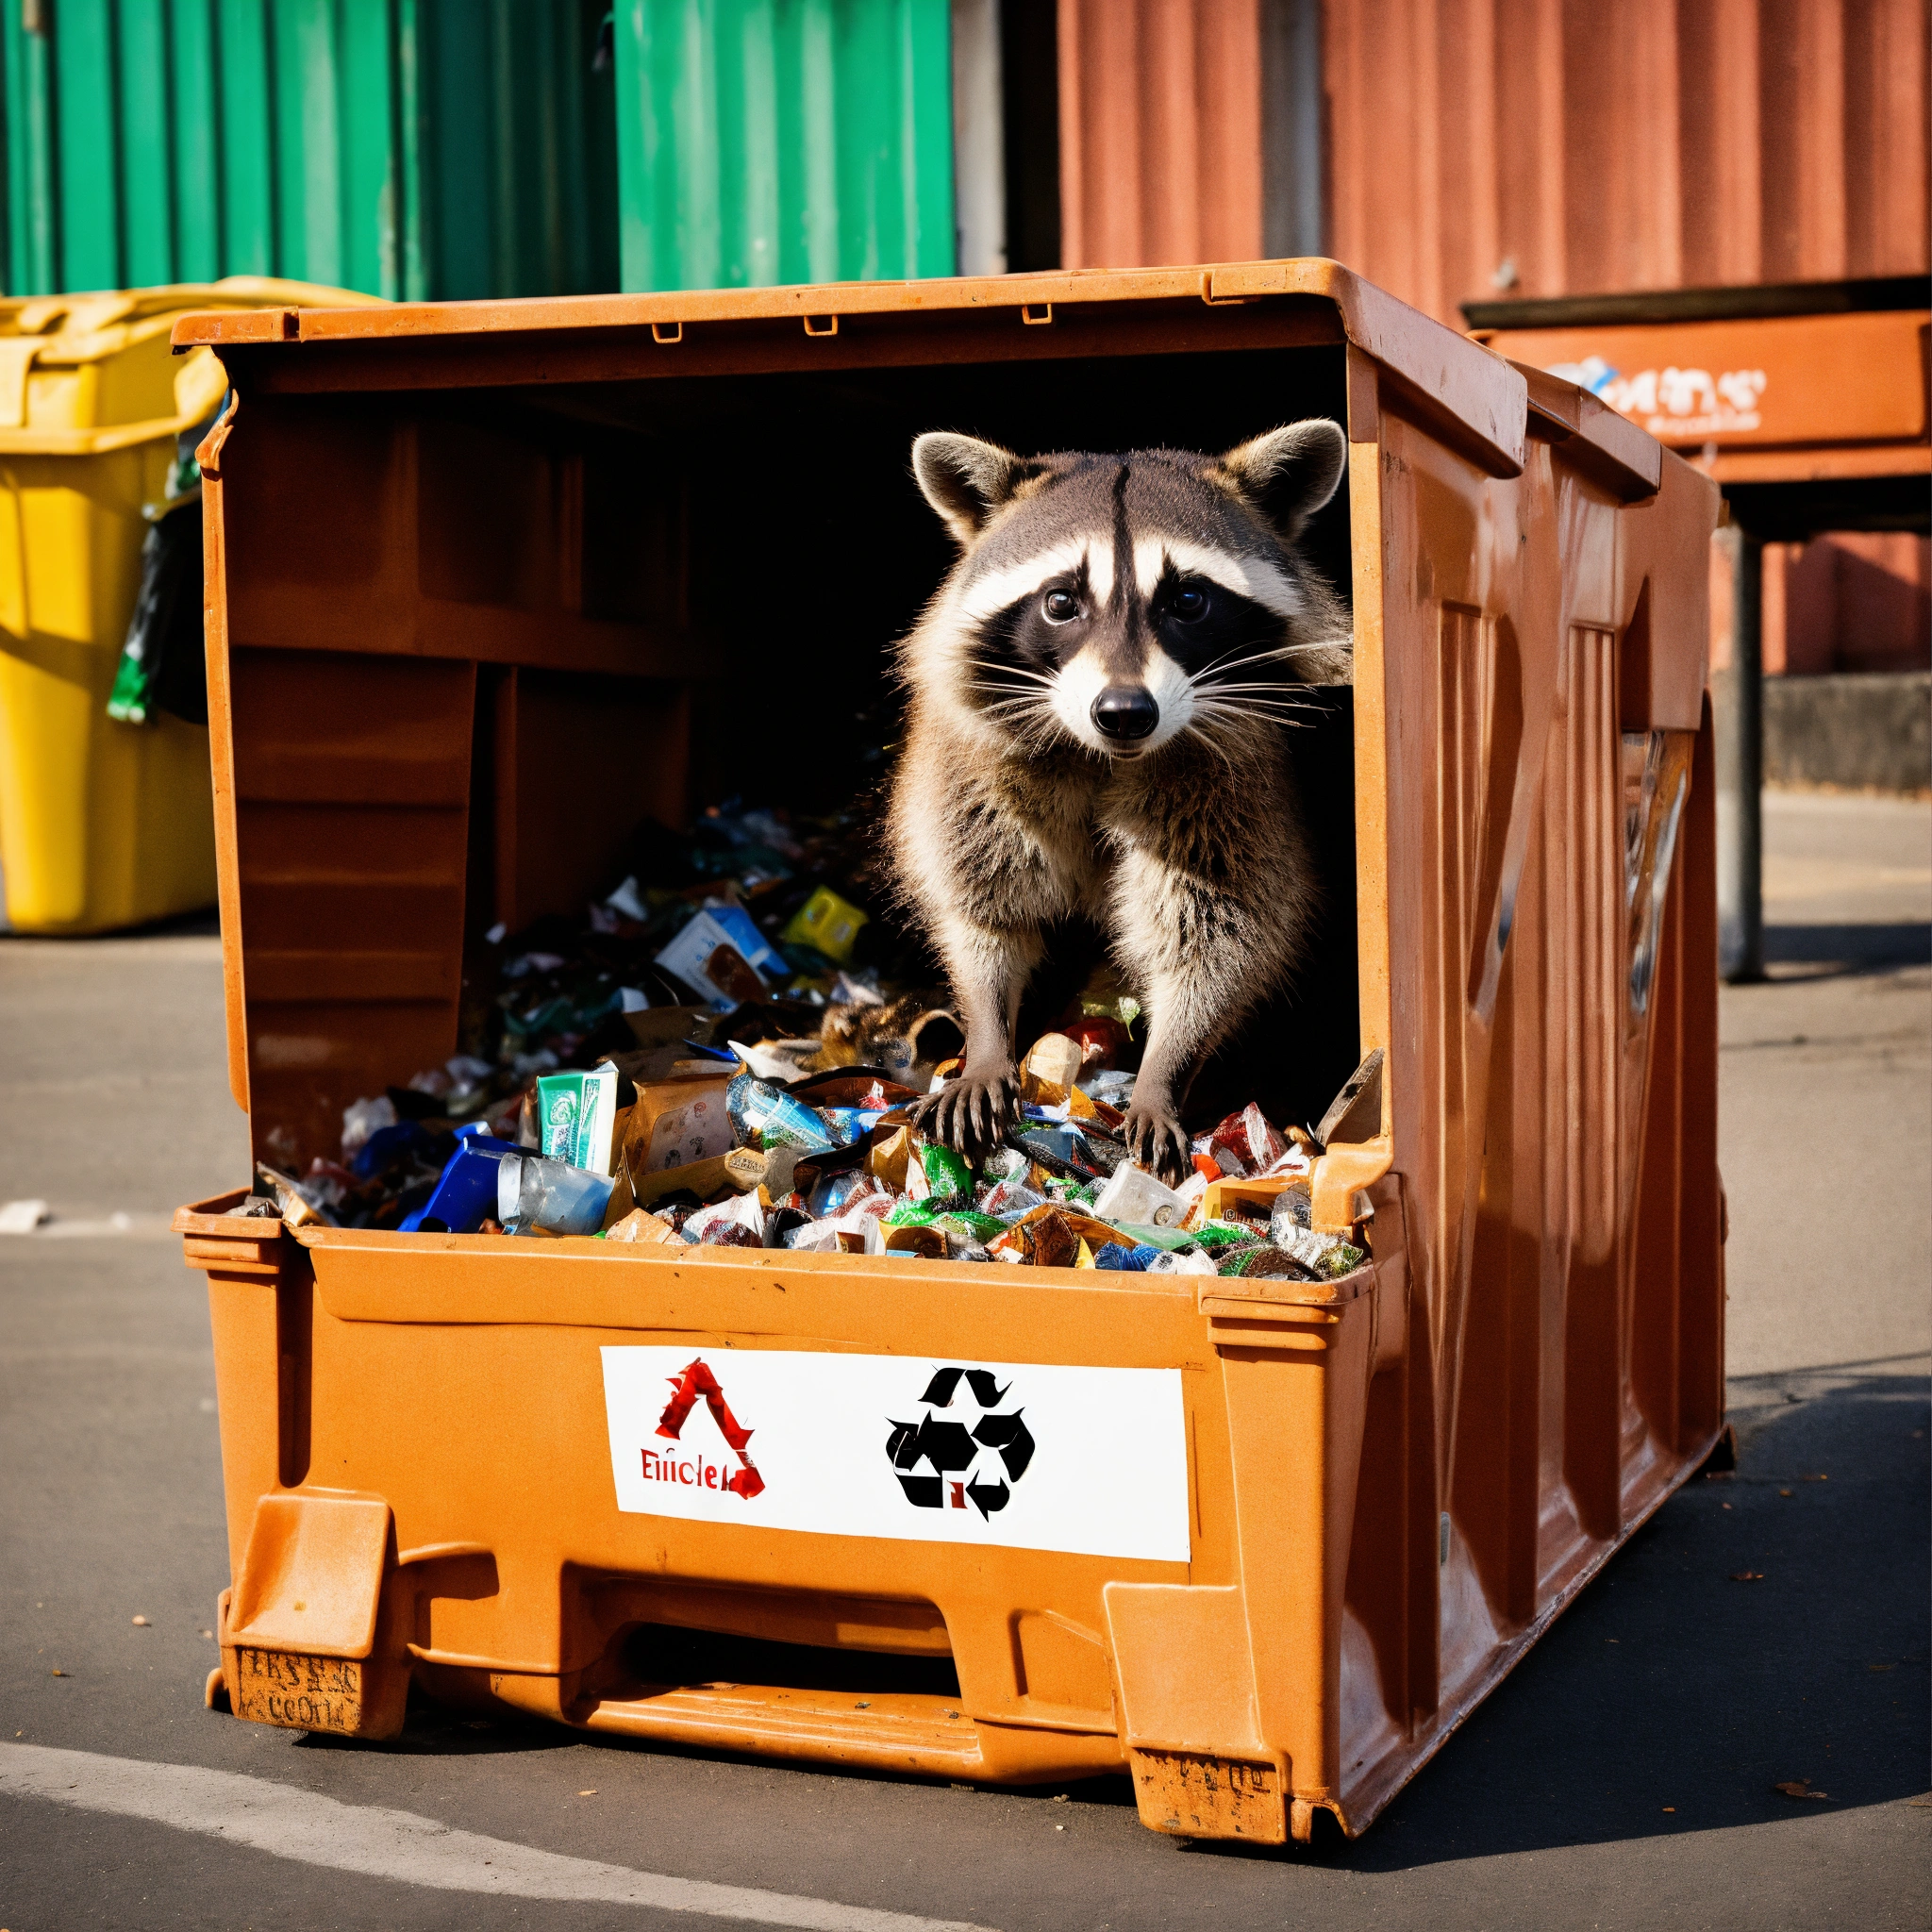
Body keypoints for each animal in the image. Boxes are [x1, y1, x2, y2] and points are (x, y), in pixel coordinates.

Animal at [886, 422, 1351, 1182]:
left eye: (1188, 600)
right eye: (1061, 602)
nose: (1126, 712)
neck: (1104, 757)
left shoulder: (1240, 791)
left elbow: (1223, 936)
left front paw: (1167, 1064)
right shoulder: (966, 770)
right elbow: (986, 905)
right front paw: (987, 1031)